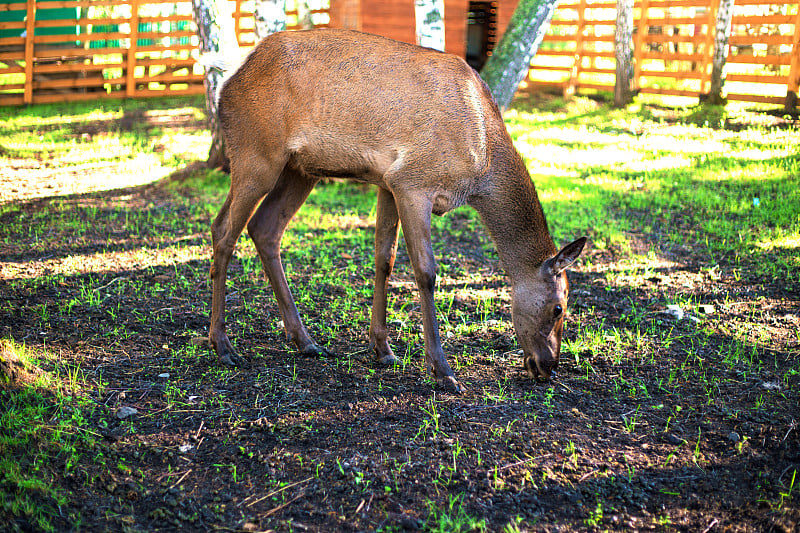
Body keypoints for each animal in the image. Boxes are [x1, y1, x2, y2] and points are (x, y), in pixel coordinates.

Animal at [206, 30, 584, 394]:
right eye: (559, 307)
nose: (548, 367)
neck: (482, 159)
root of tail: (228, 81)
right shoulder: (412, 182)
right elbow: (426, 272)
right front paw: (443, 371)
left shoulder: (387, 183)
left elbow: (384, 259)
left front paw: (383, 349)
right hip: (257, 154)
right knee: (223, 229)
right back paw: (223, 346)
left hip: (299, 169)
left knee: (265, 228)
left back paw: (306, 341)